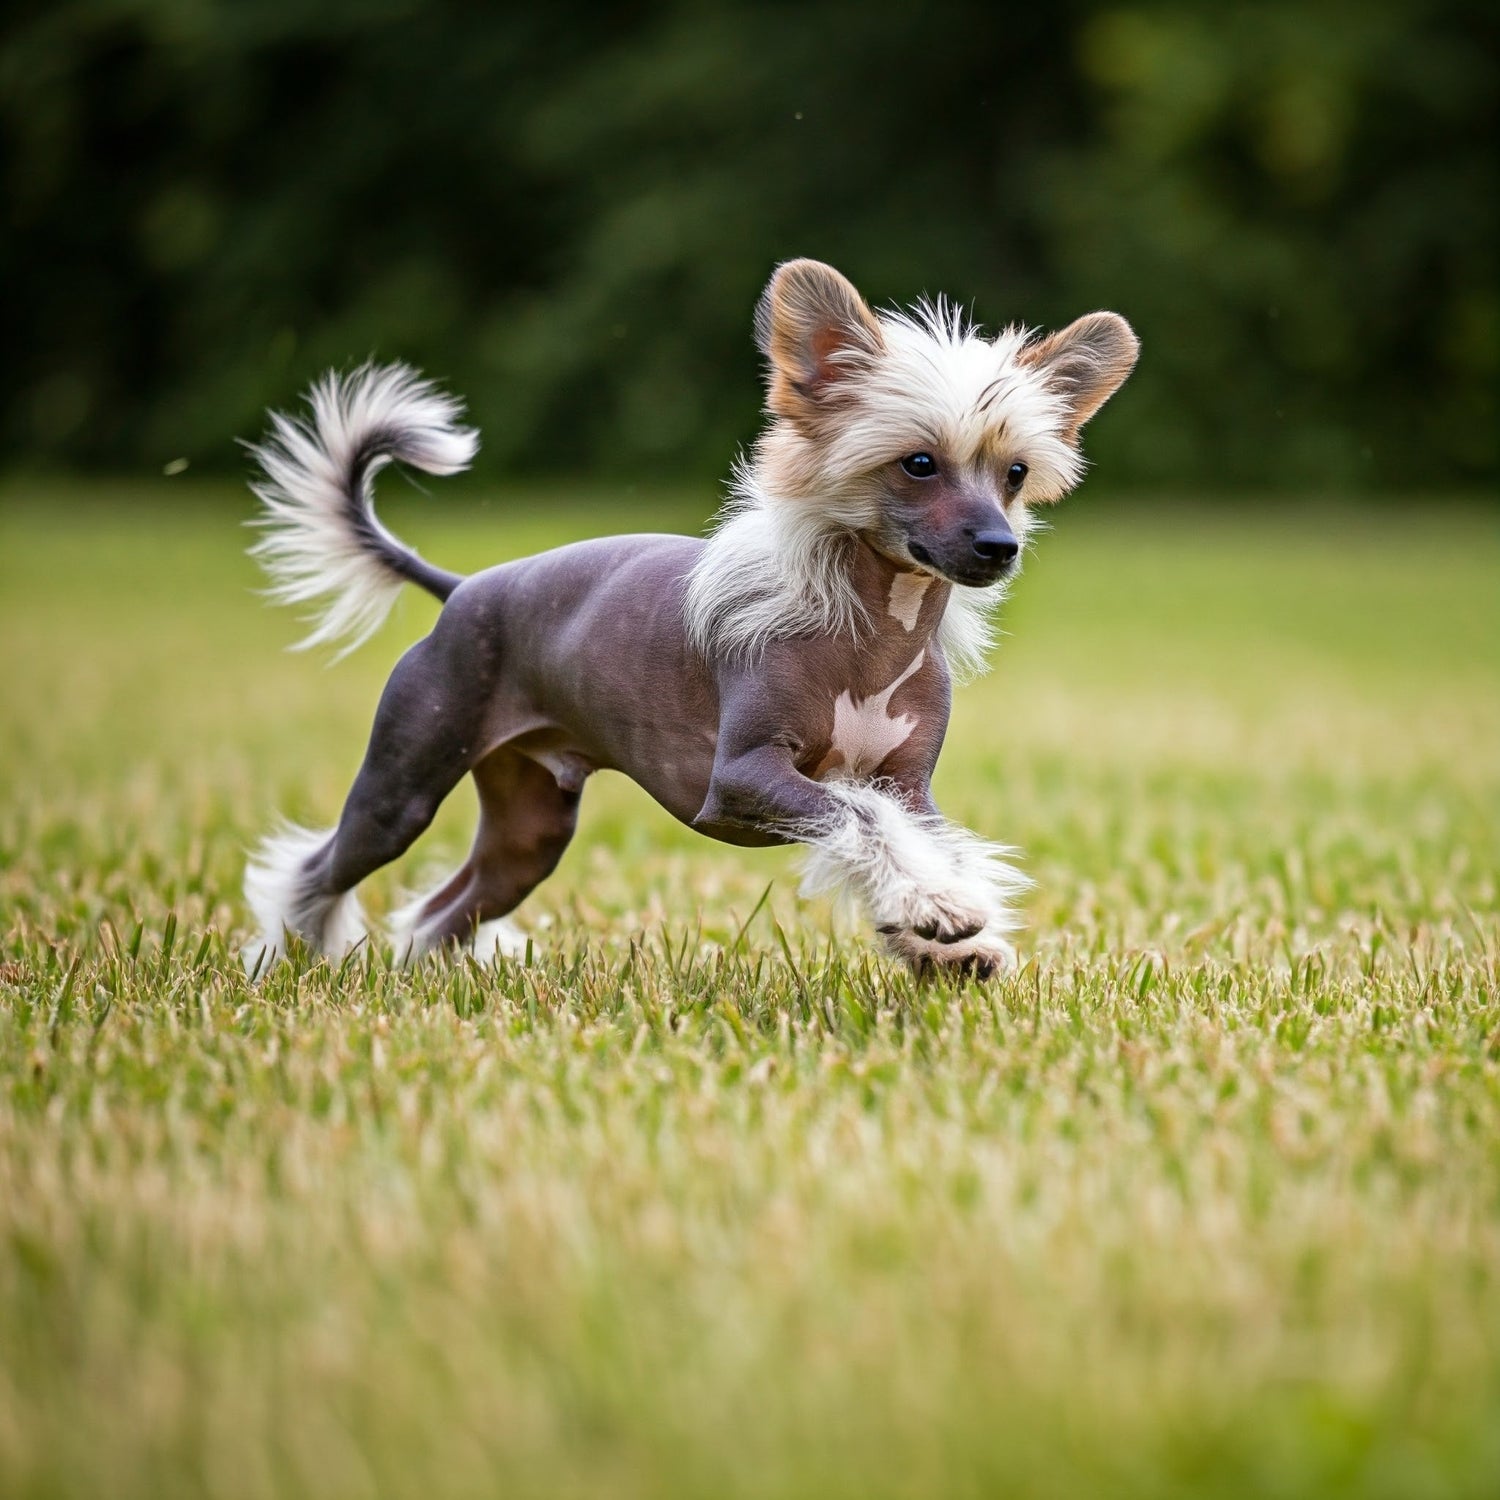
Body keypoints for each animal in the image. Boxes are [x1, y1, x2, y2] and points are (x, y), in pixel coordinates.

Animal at [243, 261, 1134, 972]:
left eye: (1014, 473)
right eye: (918, 463)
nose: (999, 546)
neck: (872, 637)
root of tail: (463, 588)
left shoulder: (910, 789)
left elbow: (913, 835)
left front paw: (947, 937)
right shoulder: (744, 777)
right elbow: (860, 818)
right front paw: (935, 912)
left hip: (530, 829)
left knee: (442, 913)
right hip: (405, 780)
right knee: (320, 868)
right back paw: (286, 957)